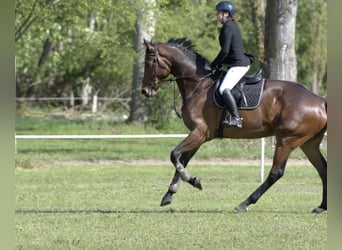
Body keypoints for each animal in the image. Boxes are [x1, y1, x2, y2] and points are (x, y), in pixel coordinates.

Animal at [140, 37, 328, 213]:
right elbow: (182, 159)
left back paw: (245, 203)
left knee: (276, 173)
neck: (198, 85)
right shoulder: (199, 135)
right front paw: (169, 194)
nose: (145, 91)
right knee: (323, 169)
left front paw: (193, 180)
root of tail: (320, 101)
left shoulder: (199, 132)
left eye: (149, 63)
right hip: (308, 143)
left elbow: (174, 155)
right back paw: (322, 206)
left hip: (287, 140)